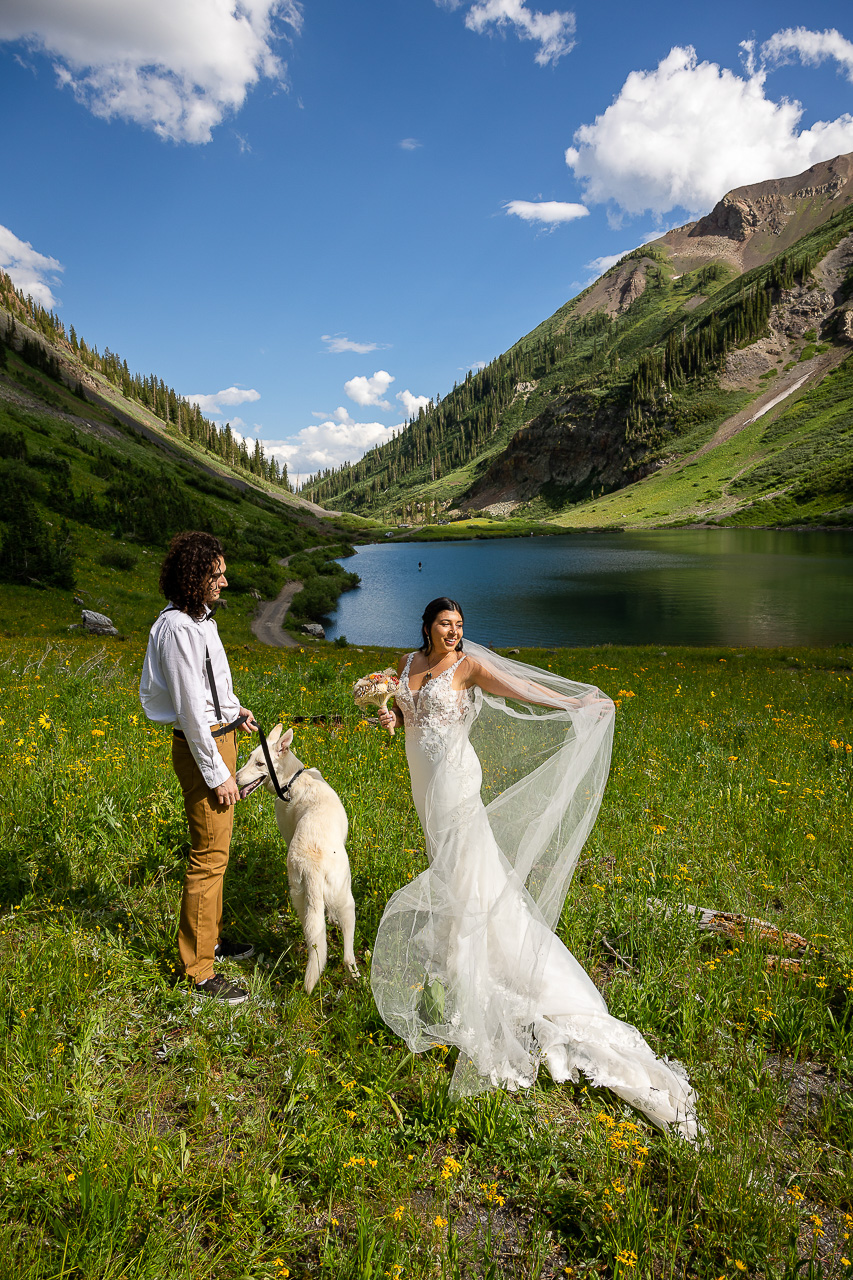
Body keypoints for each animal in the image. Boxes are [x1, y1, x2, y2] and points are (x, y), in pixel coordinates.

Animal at [236, 732, 356, 988]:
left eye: (258, 763)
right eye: (249, 758)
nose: (236, 778)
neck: (292, 781)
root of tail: (313, 867)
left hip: (304, 901)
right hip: (347, 902)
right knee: (347, 953)